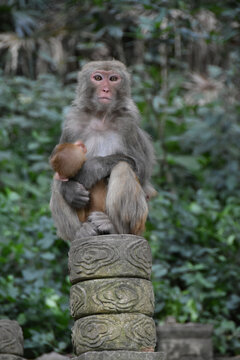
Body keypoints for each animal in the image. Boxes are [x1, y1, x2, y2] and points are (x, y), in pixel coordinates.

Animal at [49, 59, 157, 242]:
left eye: (113, 79)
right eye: (98, 78)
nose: (106, 89)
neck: (101, 117)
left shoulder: (128, 124)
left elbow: (142, 171)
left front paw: (92, 168)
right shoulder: (71, 124)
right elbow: (59, 169)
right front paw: (70, 191)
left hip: (138, 224)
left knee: (122, 168)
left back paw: (113, 227)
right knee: (56, 181)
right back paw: (80, 232)